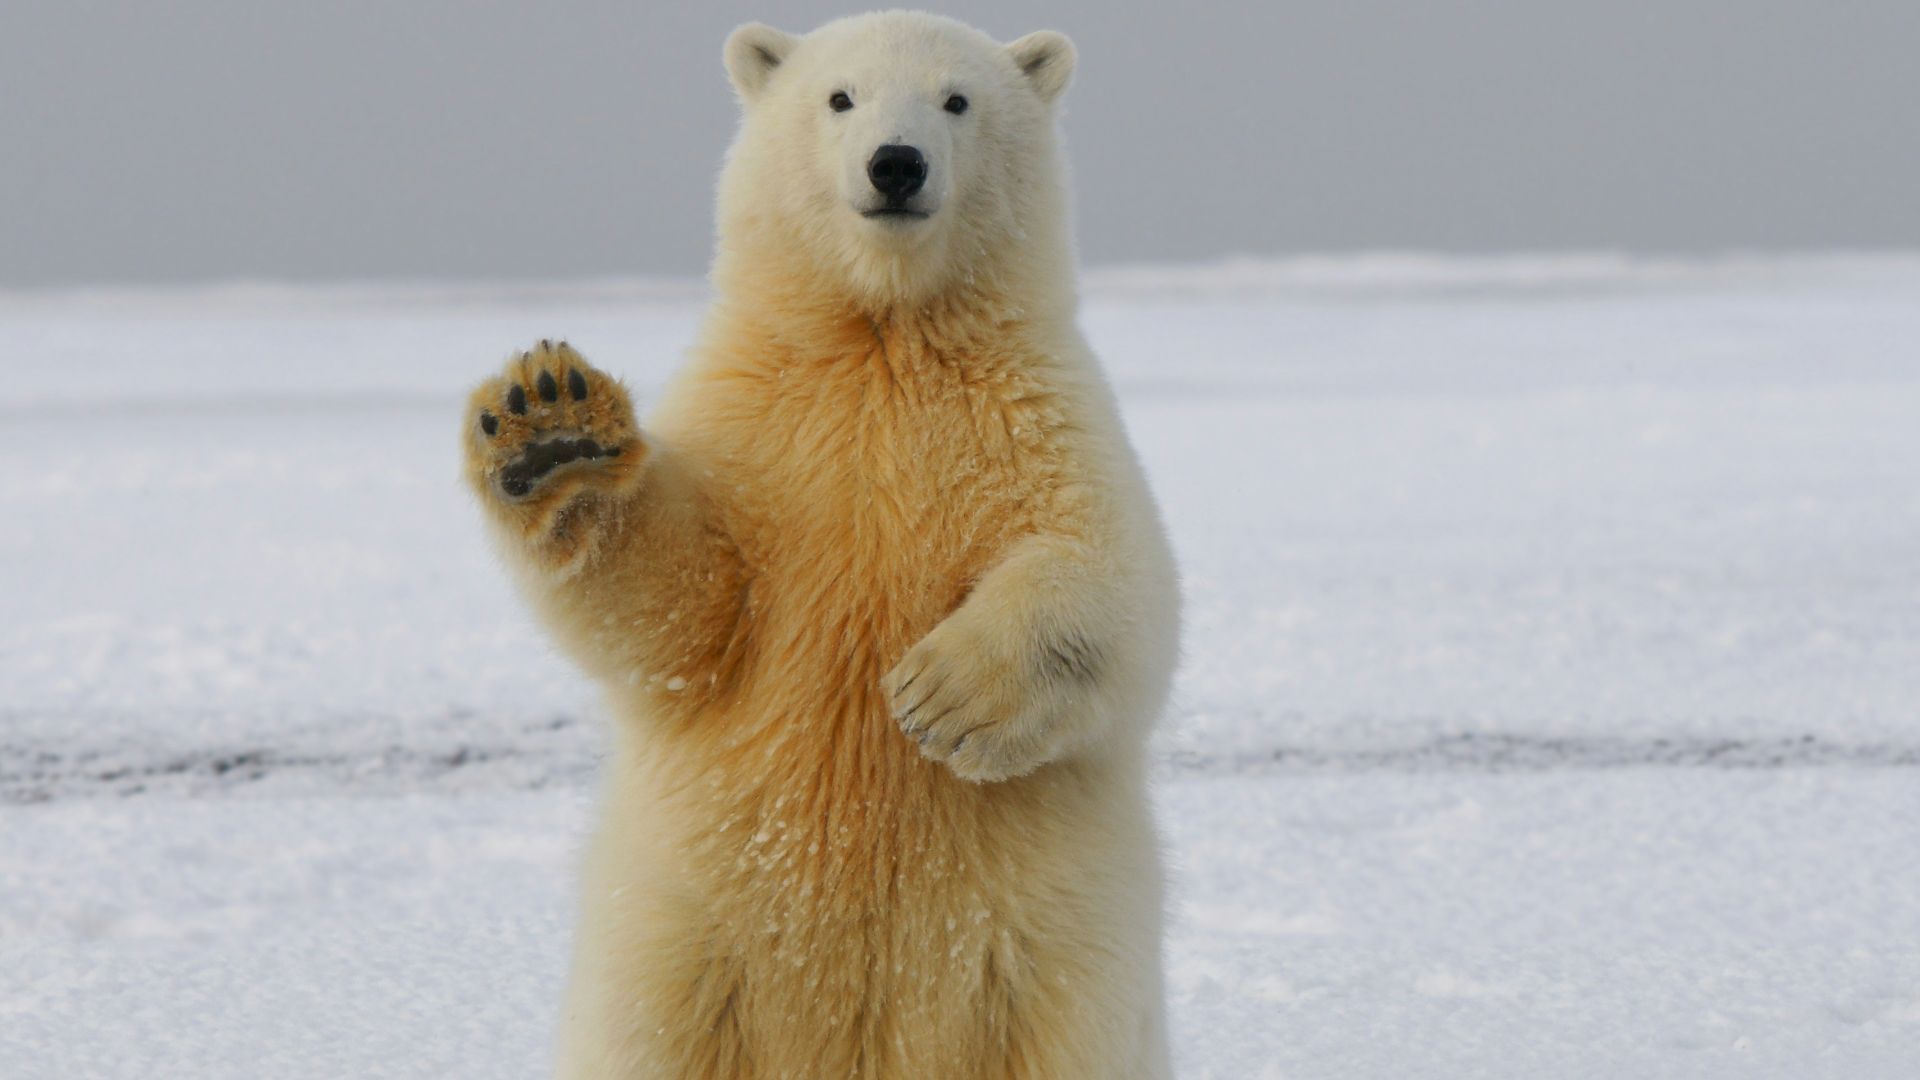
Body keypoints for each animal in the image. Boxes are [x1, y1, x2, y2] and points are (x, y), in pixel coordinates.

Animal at [461, 12, 1180, 1079]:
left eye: (956, 99)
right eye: (840, 97)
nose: (896, 163)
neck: (881, 336)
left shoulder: (1040, 417)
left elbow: (1116, 585)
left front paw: (941, 696)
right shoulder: (760, 428)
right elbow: (683, 608)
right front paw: (550, 427)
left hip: (1050, 968)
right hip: (680, 948)